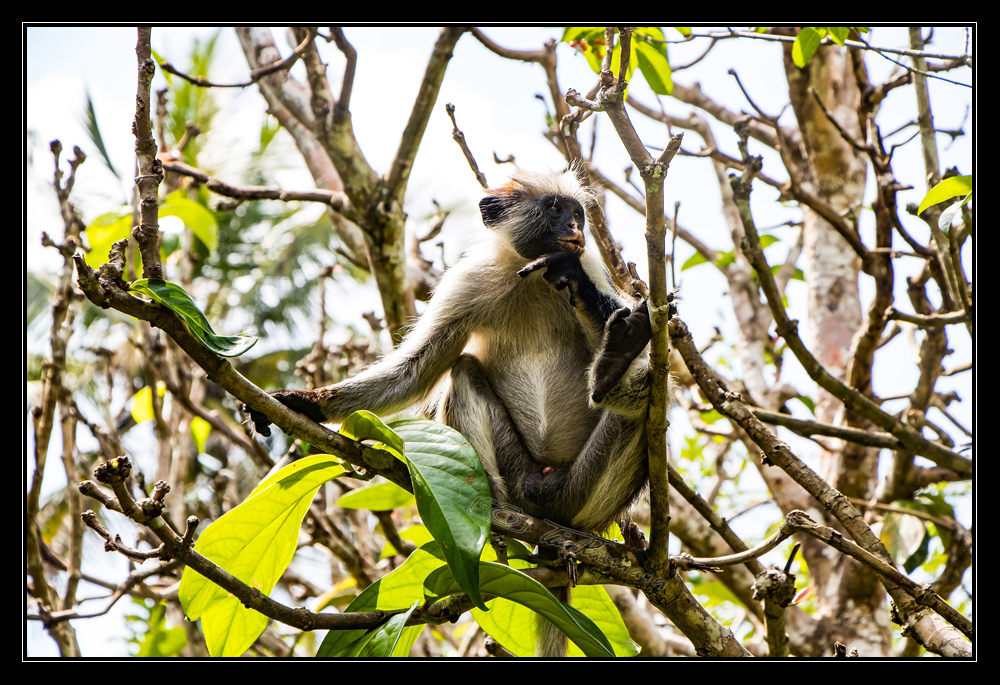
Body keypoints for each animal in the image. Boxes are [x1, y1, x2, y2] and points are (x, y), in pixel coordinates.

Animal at [245, 168, 656, 656]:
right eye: (556, 208)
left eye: (577, 213)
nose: (575, 227)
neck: (529, 279)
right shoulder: (469, 281)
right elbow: (417, 368)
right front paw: (305, 402)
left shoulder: (589, 264)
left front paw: (601, 317)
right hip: (521, 476)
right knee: (462, 371)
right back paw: (495, 511)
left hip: (582, 494)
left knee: (644, 399)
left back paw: (615, 363)